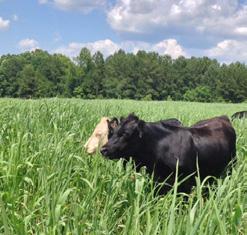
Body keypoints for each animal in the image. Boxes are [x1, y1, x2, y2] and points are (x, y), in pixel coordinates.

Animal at [101, 114, 236, 193]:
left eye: (126, 134)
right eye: (112, 133)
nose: (103, 149)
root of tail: (223, 117)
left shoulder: (185, 182)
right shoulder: (157, 179)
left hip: (231, 166)